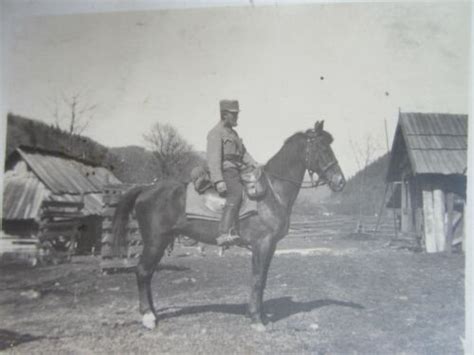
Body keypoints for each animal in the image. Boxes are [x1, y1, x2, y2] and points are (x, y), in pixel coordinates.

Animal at [113, 121, 346, 332]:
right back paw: (148, 317)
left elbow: (262, 278)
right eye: (322, 148)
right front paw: (256, 319)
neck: (271, 192)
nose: (340, 181)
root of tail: (146, 189)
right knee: (143, 272)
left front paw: (259, 314)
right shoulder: (262, 244)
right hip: (155, 241)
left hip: (162, 242)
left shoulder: (270, 246)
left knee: (149, 273)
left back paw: (153, 314)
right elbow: (257, 279)